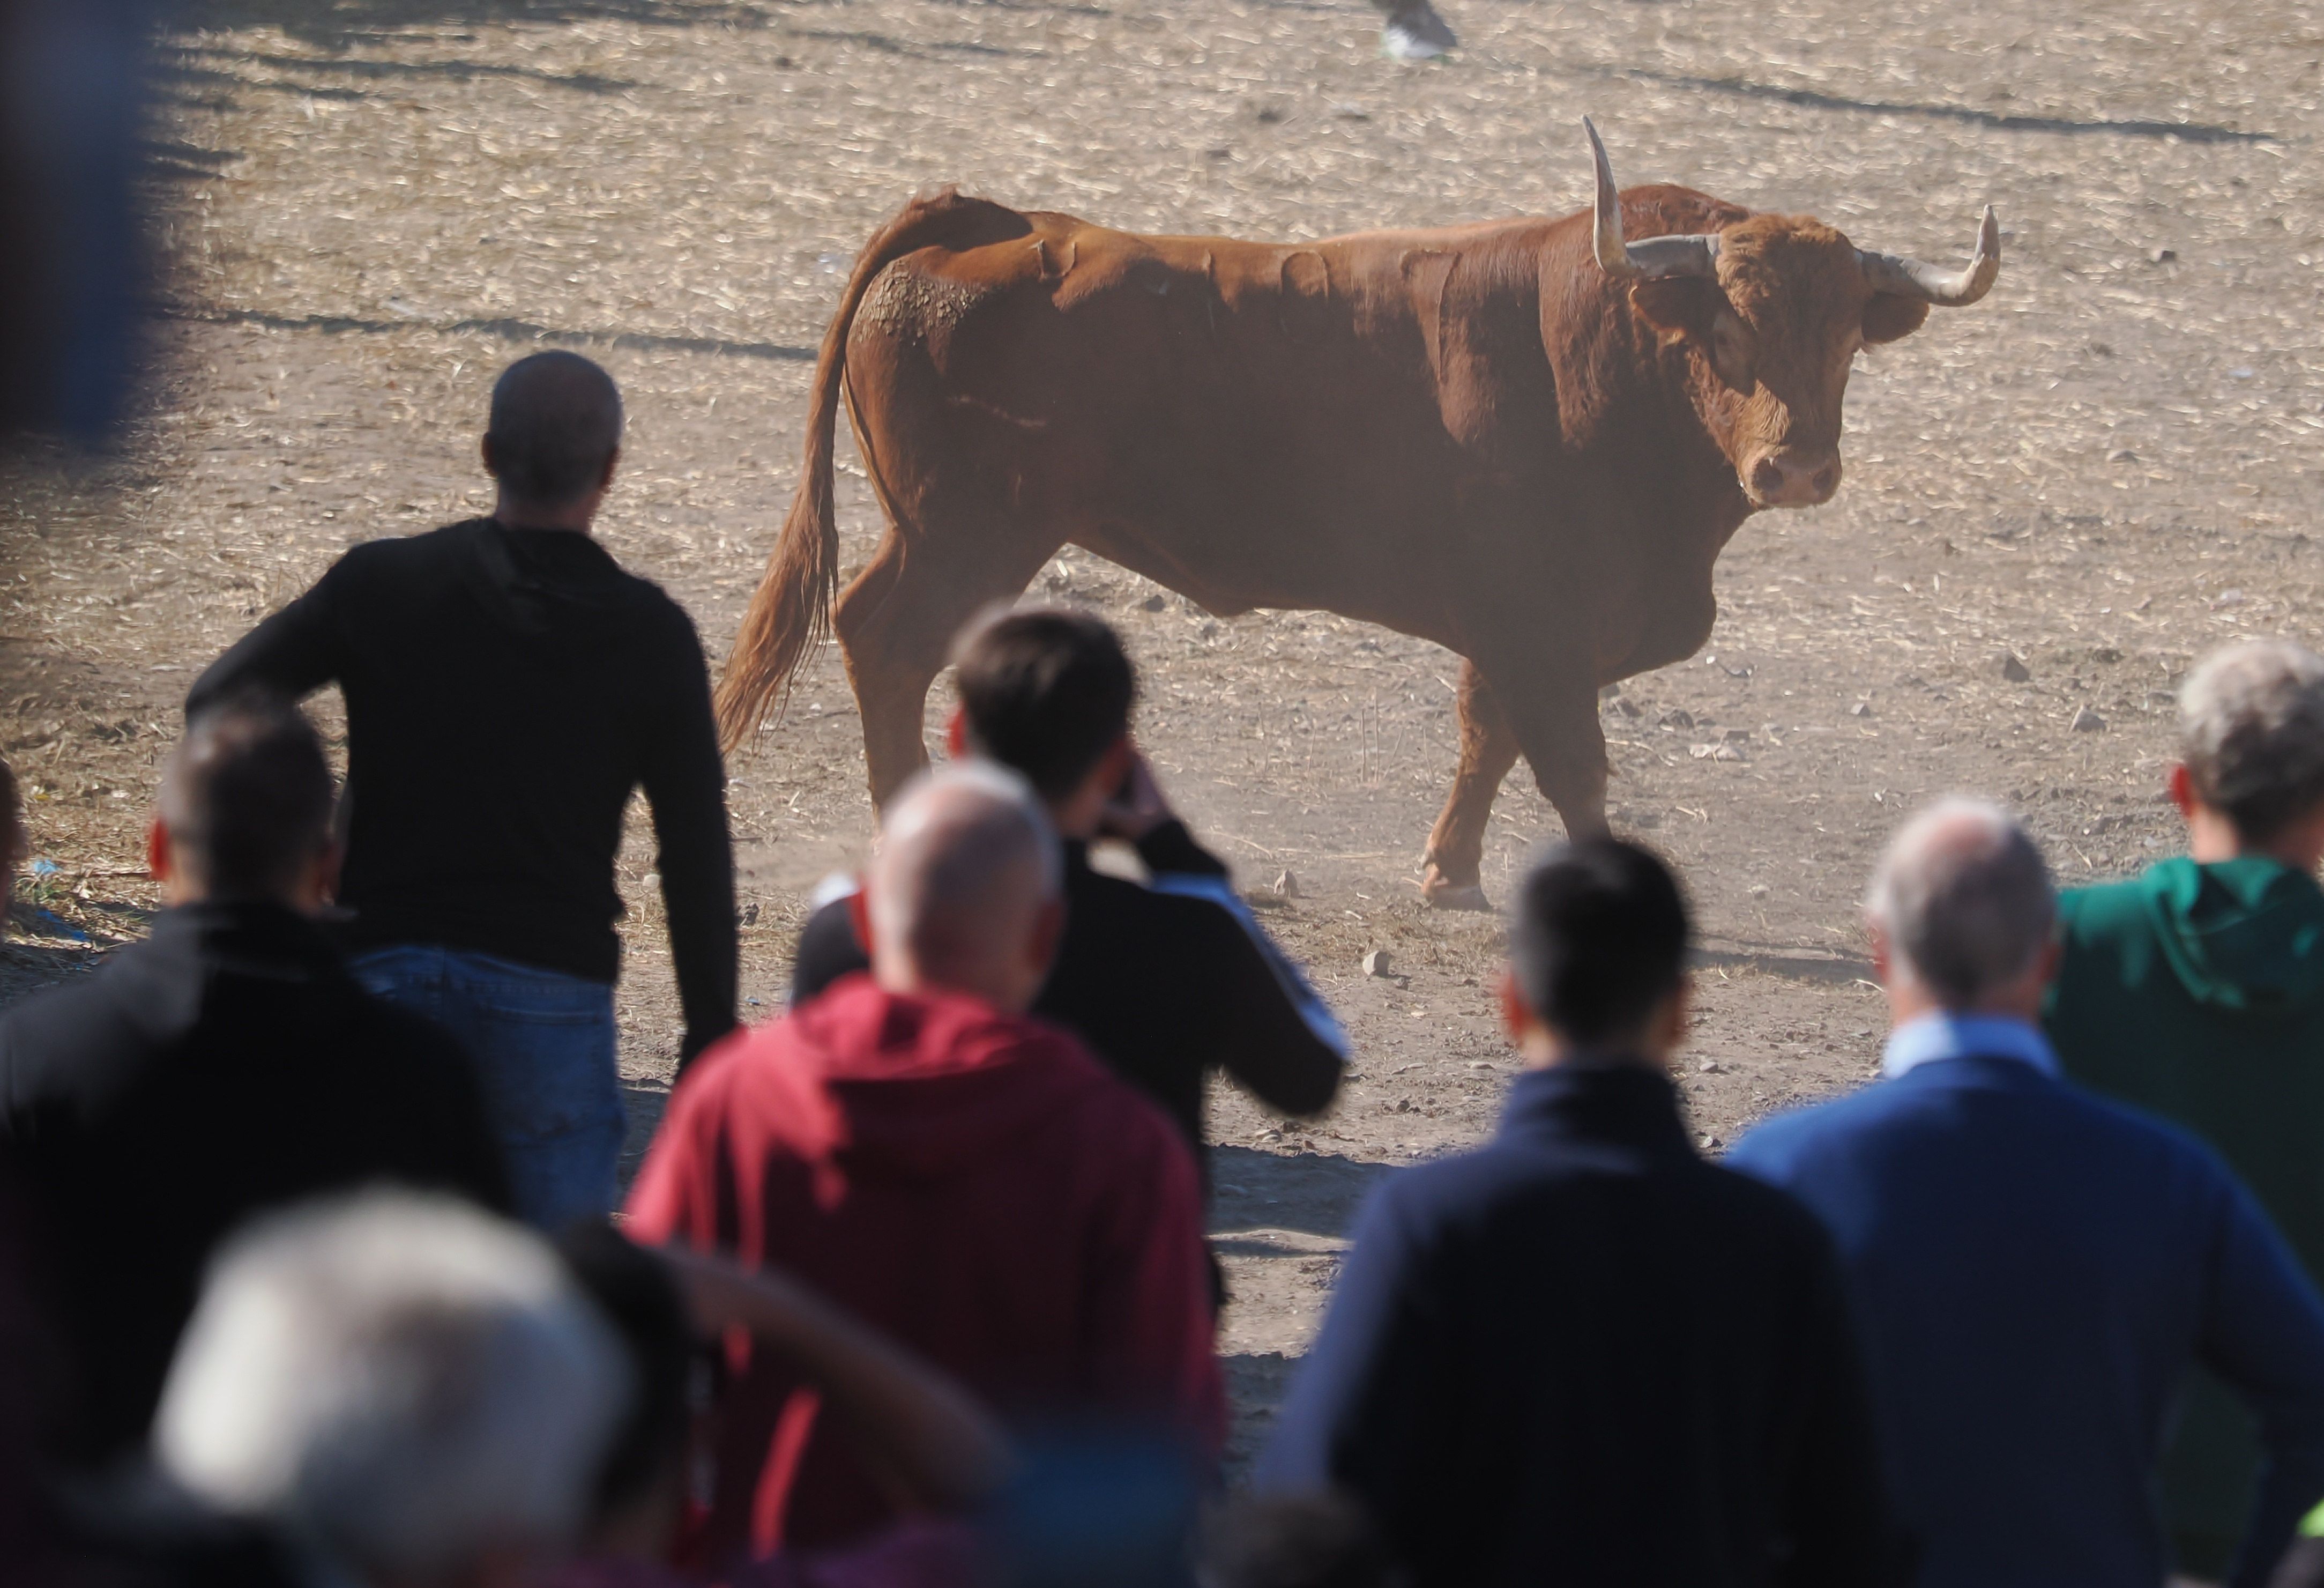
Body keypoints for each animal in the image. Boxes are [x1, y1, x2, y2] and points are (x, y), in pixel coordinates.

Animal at [720, 122, 1998, 907]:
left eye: (1844, 339)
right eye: (1728, 331)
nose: (1797, 468)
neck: (1621, 351)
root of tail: (994, 219)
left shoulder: (1513, 627)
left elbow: (1486, 737)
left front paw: (1449, 873)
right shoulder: (1543, 626)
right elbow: (1572, 766)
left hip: (946, 532)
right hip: (966, 534)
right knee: (886, 643)